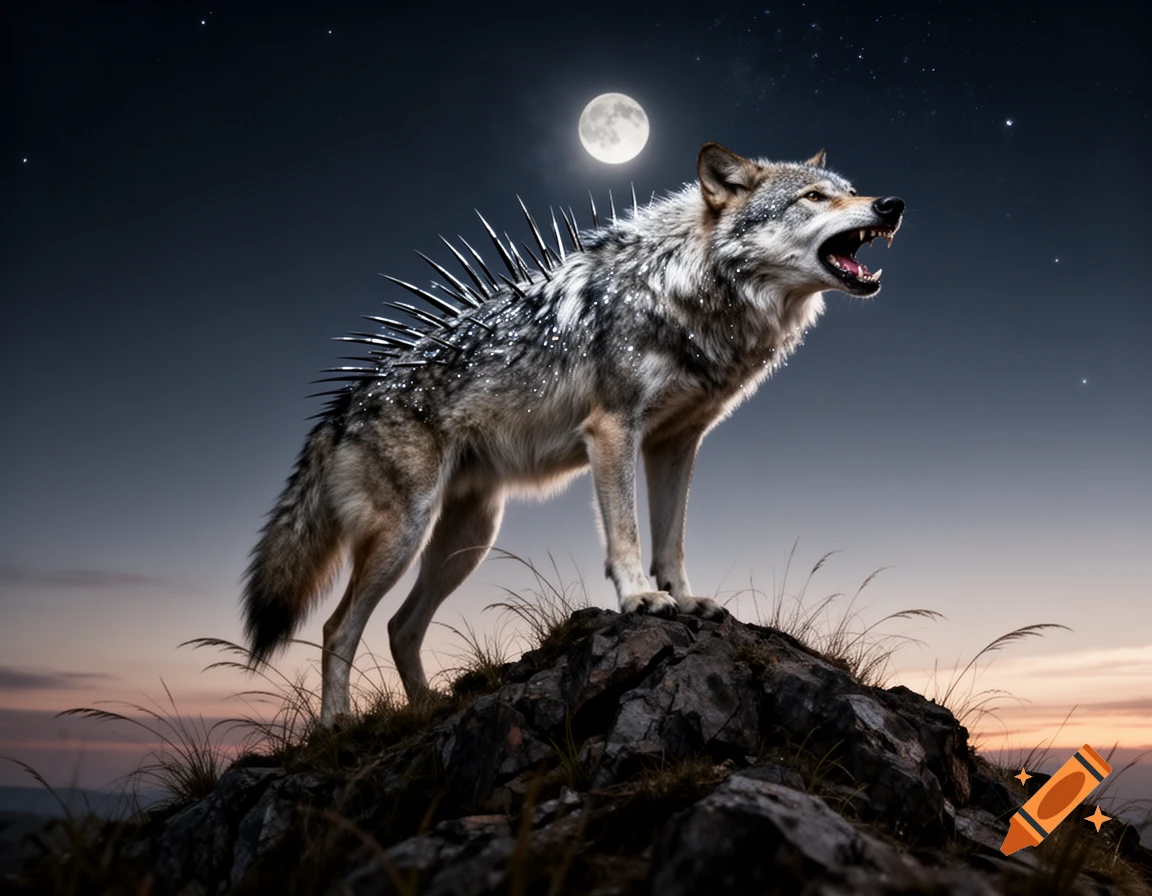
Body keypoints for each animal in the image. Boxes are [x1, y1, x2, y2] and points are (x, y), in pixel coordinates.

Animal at [242, 142, 904, 725]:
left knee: (398, 628)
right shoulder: (613, 428)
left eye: (849, 189)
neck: (685, 291)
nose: (892, 204)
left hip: (467, 540)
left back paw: (425, 709)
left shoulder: (675, 443)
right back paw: (335, 728)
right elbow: (627, 535)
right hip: (405, 535)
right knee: (338, 627)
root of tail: (338, 411)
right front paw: (640, 599)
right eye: (813, 197)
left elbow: (672, 541)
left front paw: (685, 599)